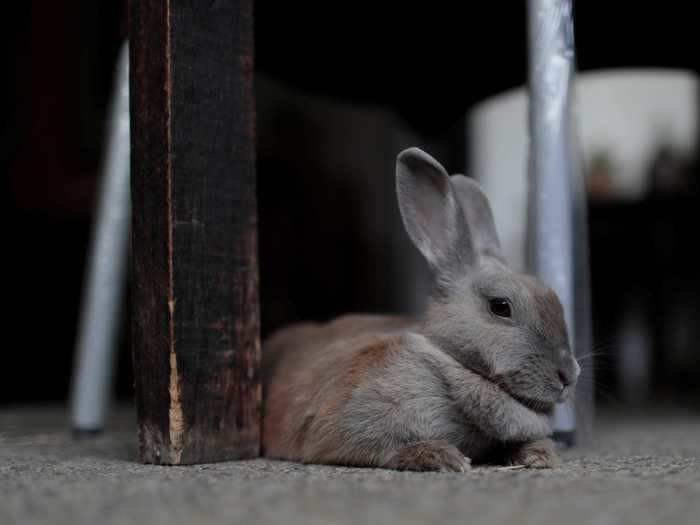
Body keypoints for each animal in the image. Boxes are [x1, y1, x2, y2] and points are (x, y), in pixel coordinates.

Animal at [262, 147, 580, 470]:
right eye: (501, 306)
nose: (568, 376)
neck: (449, 359)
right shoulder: (347, 425)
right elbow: (387, 447)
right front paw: (443, 457)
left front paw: (541, 456)